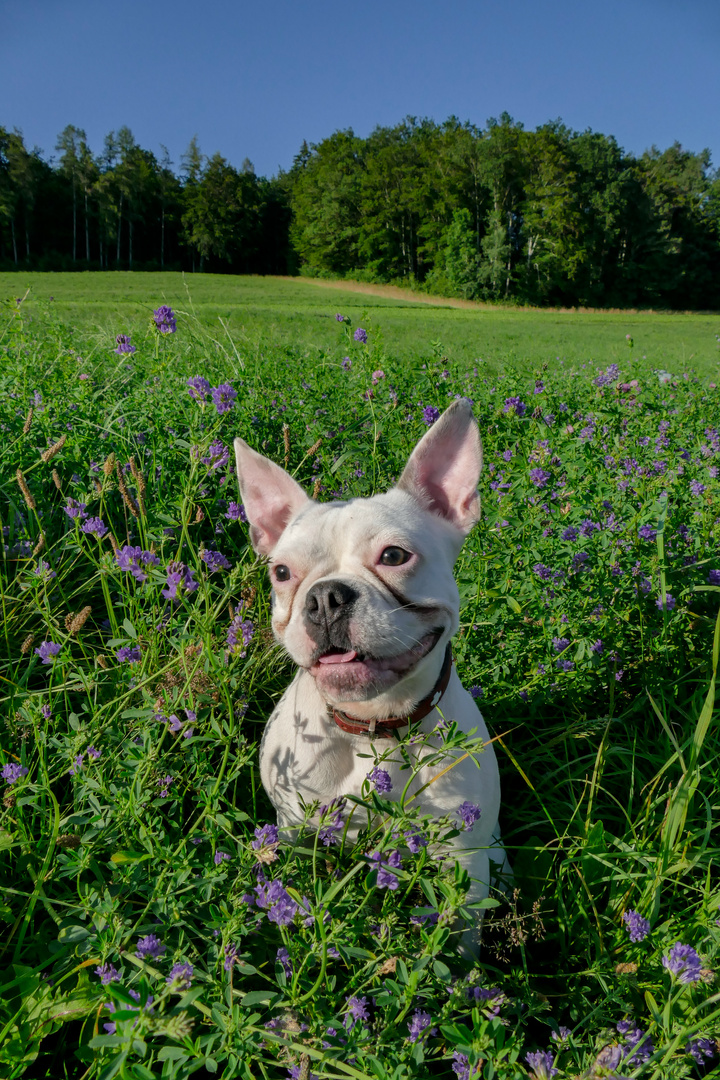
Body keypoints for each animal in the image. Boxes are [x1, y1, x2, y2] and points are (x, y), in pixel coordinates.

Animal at [235, 399, 507, 954]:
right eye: (281, 573)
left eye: (394, 556)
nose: (325, 597)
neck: (374, 726)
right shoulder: (295, 829)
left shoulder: (463, 864)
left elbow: (459, 939)